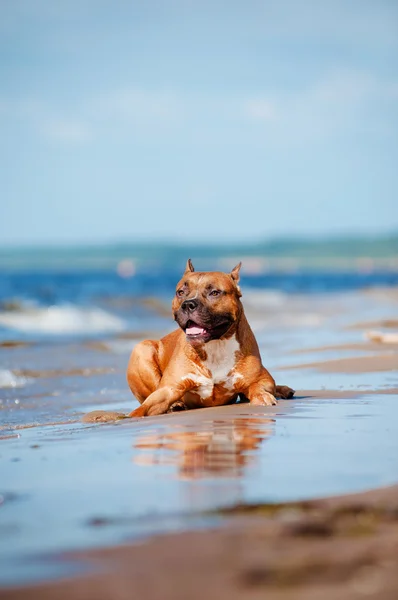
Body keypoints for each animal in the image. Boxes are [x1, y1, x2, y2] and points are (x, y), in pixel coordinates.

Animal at [126, 258, 294, 418]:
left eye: (214, 292)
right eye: (181, 292)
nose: (188, 305)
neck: (214, 345)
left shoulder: (261, 379)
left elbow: (257, 386)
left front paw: (262, 396)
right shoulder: (168, 389)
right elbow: (144, 407)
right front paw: (130, 416)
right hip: (142, 348)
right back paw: (176, 405)